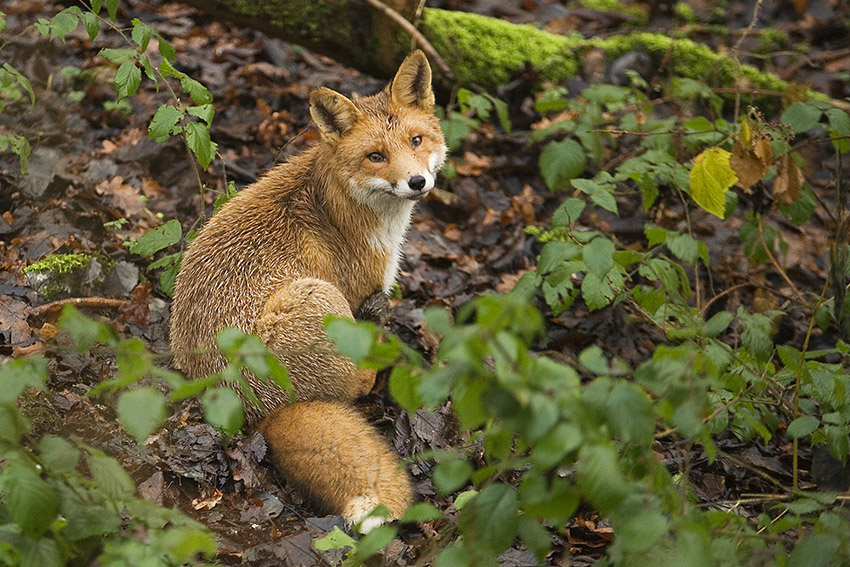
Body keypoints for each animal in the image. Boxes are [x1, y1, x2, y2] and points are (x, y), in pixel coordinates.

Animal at [169, 51, 448, 532]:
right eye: (376, 156)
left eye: (416, 140)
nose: (417, 182)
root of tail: (259, 409)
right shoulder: (358, 288)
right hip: (319, 298)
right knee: (357, 385)